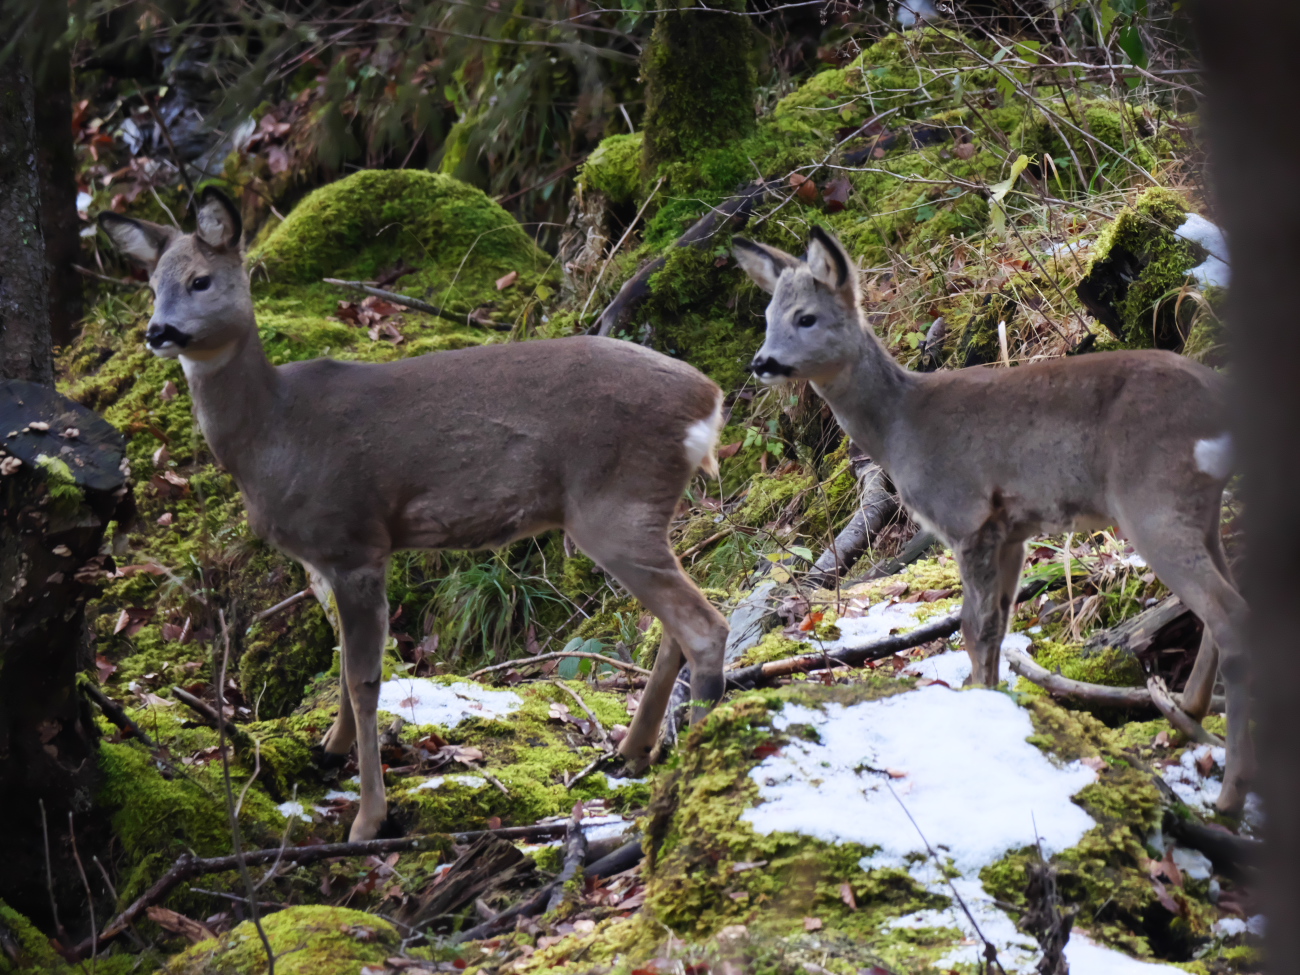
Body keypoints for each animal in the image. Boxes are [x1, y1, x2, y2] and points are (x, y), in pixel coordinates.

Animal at [100, 188, 733, 842]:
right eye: (152, 284)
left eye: (200, 280)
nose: (157, 331)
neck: (272, 434)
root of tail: (710, 399)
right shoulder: (320, 558)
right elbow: (342, 663)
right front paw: (329, 750)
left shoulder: (354, 540)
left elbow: (363, 680)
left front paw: (367, 818)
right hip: (643, 509)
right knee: (677, 623)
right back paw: (630, 751)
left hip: (615, 503)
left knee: (704, 626)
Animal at [733, 224, 1248, 811]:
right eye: (768, 316)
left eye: (806, 317)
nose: (761, 362)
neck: (899, 428)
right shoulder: (1011, 532)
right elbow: (998, 625)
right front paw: (994, 699)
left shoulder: (967, 515)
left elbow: (973, 628)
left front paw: (977, 703)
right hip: (1196, 506)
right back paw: (1186, 713)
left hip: (1152, 499)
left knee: (1228, 614)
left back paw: (1227, 798)